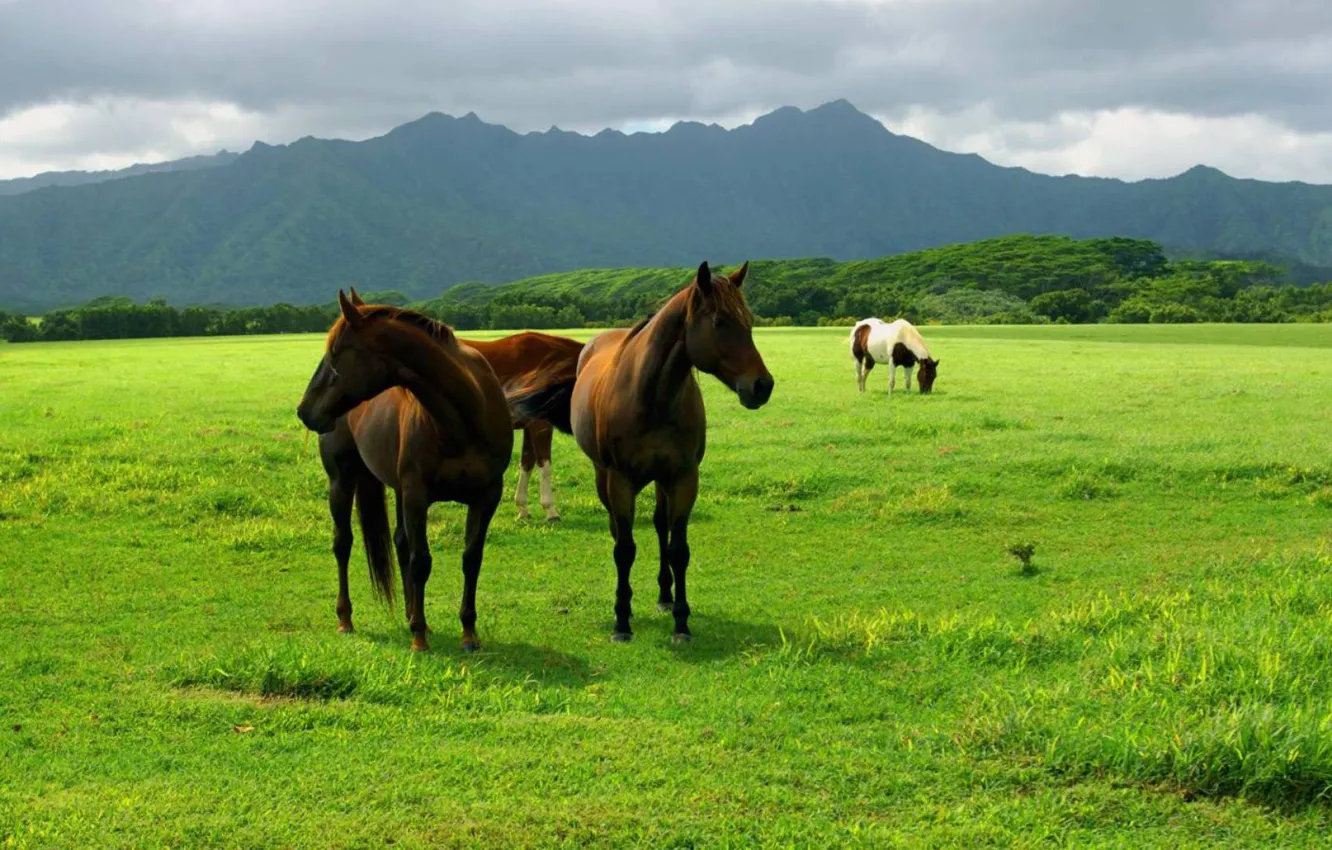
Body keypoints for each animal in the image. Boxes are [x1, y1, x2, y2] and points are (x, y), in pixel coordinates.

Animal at [295, 291, 514, 652]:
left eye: (335, 353)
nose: (304, 411)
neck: (464, 417)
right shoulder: (416, 495)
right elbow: (421, 560)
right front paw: (419, 638)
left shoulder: (486, 497)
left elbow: (471, 559)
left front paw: (468, 632)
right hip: (342, 481)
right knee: (343, 544)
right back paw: (346, 619)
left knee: (399, 542)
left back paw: (412, 613)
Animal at [344, 288, 582, 522]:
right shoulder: (541, 425)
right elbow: (544, 463)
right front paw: (550, 509)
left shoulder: (530, 424)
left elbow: (527, 462)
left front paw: (522, 507)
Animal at [506, 261, 774, 643]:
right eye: (720, 322)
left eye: (749, 321)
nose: (762, 386)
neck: (652, 397)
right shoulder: (620, 480)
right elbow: (625, 548)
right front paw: (621, 620)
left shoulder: (683, 477)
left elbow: (678, 549)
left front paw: (681, 621)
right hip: (604, 476)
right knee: (619, 532)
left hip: (661, 481)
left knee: (661, 527)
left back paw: (664, 595)